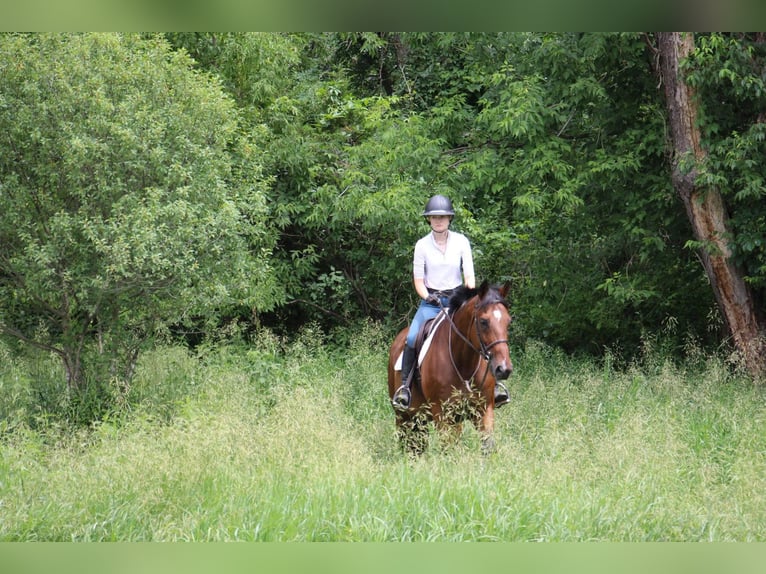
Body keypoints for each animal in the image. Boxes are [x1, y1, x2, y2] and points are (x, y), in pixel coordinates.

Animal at [388, 282, 512, 456]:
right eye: (483, 321)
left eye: (508, 321)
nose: (504, 369)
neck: (464, 364)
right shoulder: (443, 414)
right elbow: (449, 450)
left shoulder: (483, 409)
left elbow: (487, 445)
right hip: (404, 415)